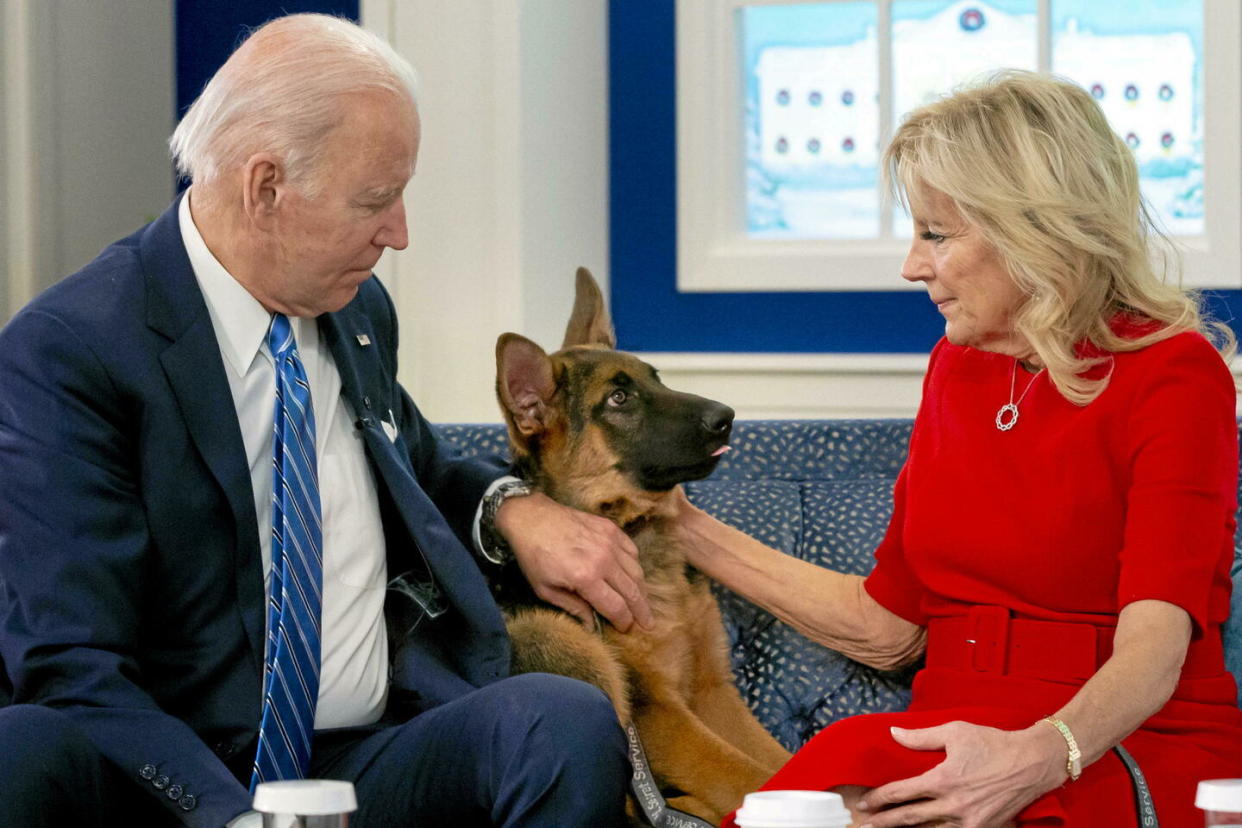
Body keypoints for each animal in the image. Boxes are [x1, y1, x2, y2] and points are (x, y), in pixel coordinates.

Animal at [491, 266, 789, 824]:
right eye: (618, 399)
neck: (635, 530)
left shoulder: (711, 691)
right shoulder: (659, 715)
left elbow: (779, 759)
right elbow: (749, 775)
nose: (726, 416)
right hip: (559, 639)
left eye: (657, 378)